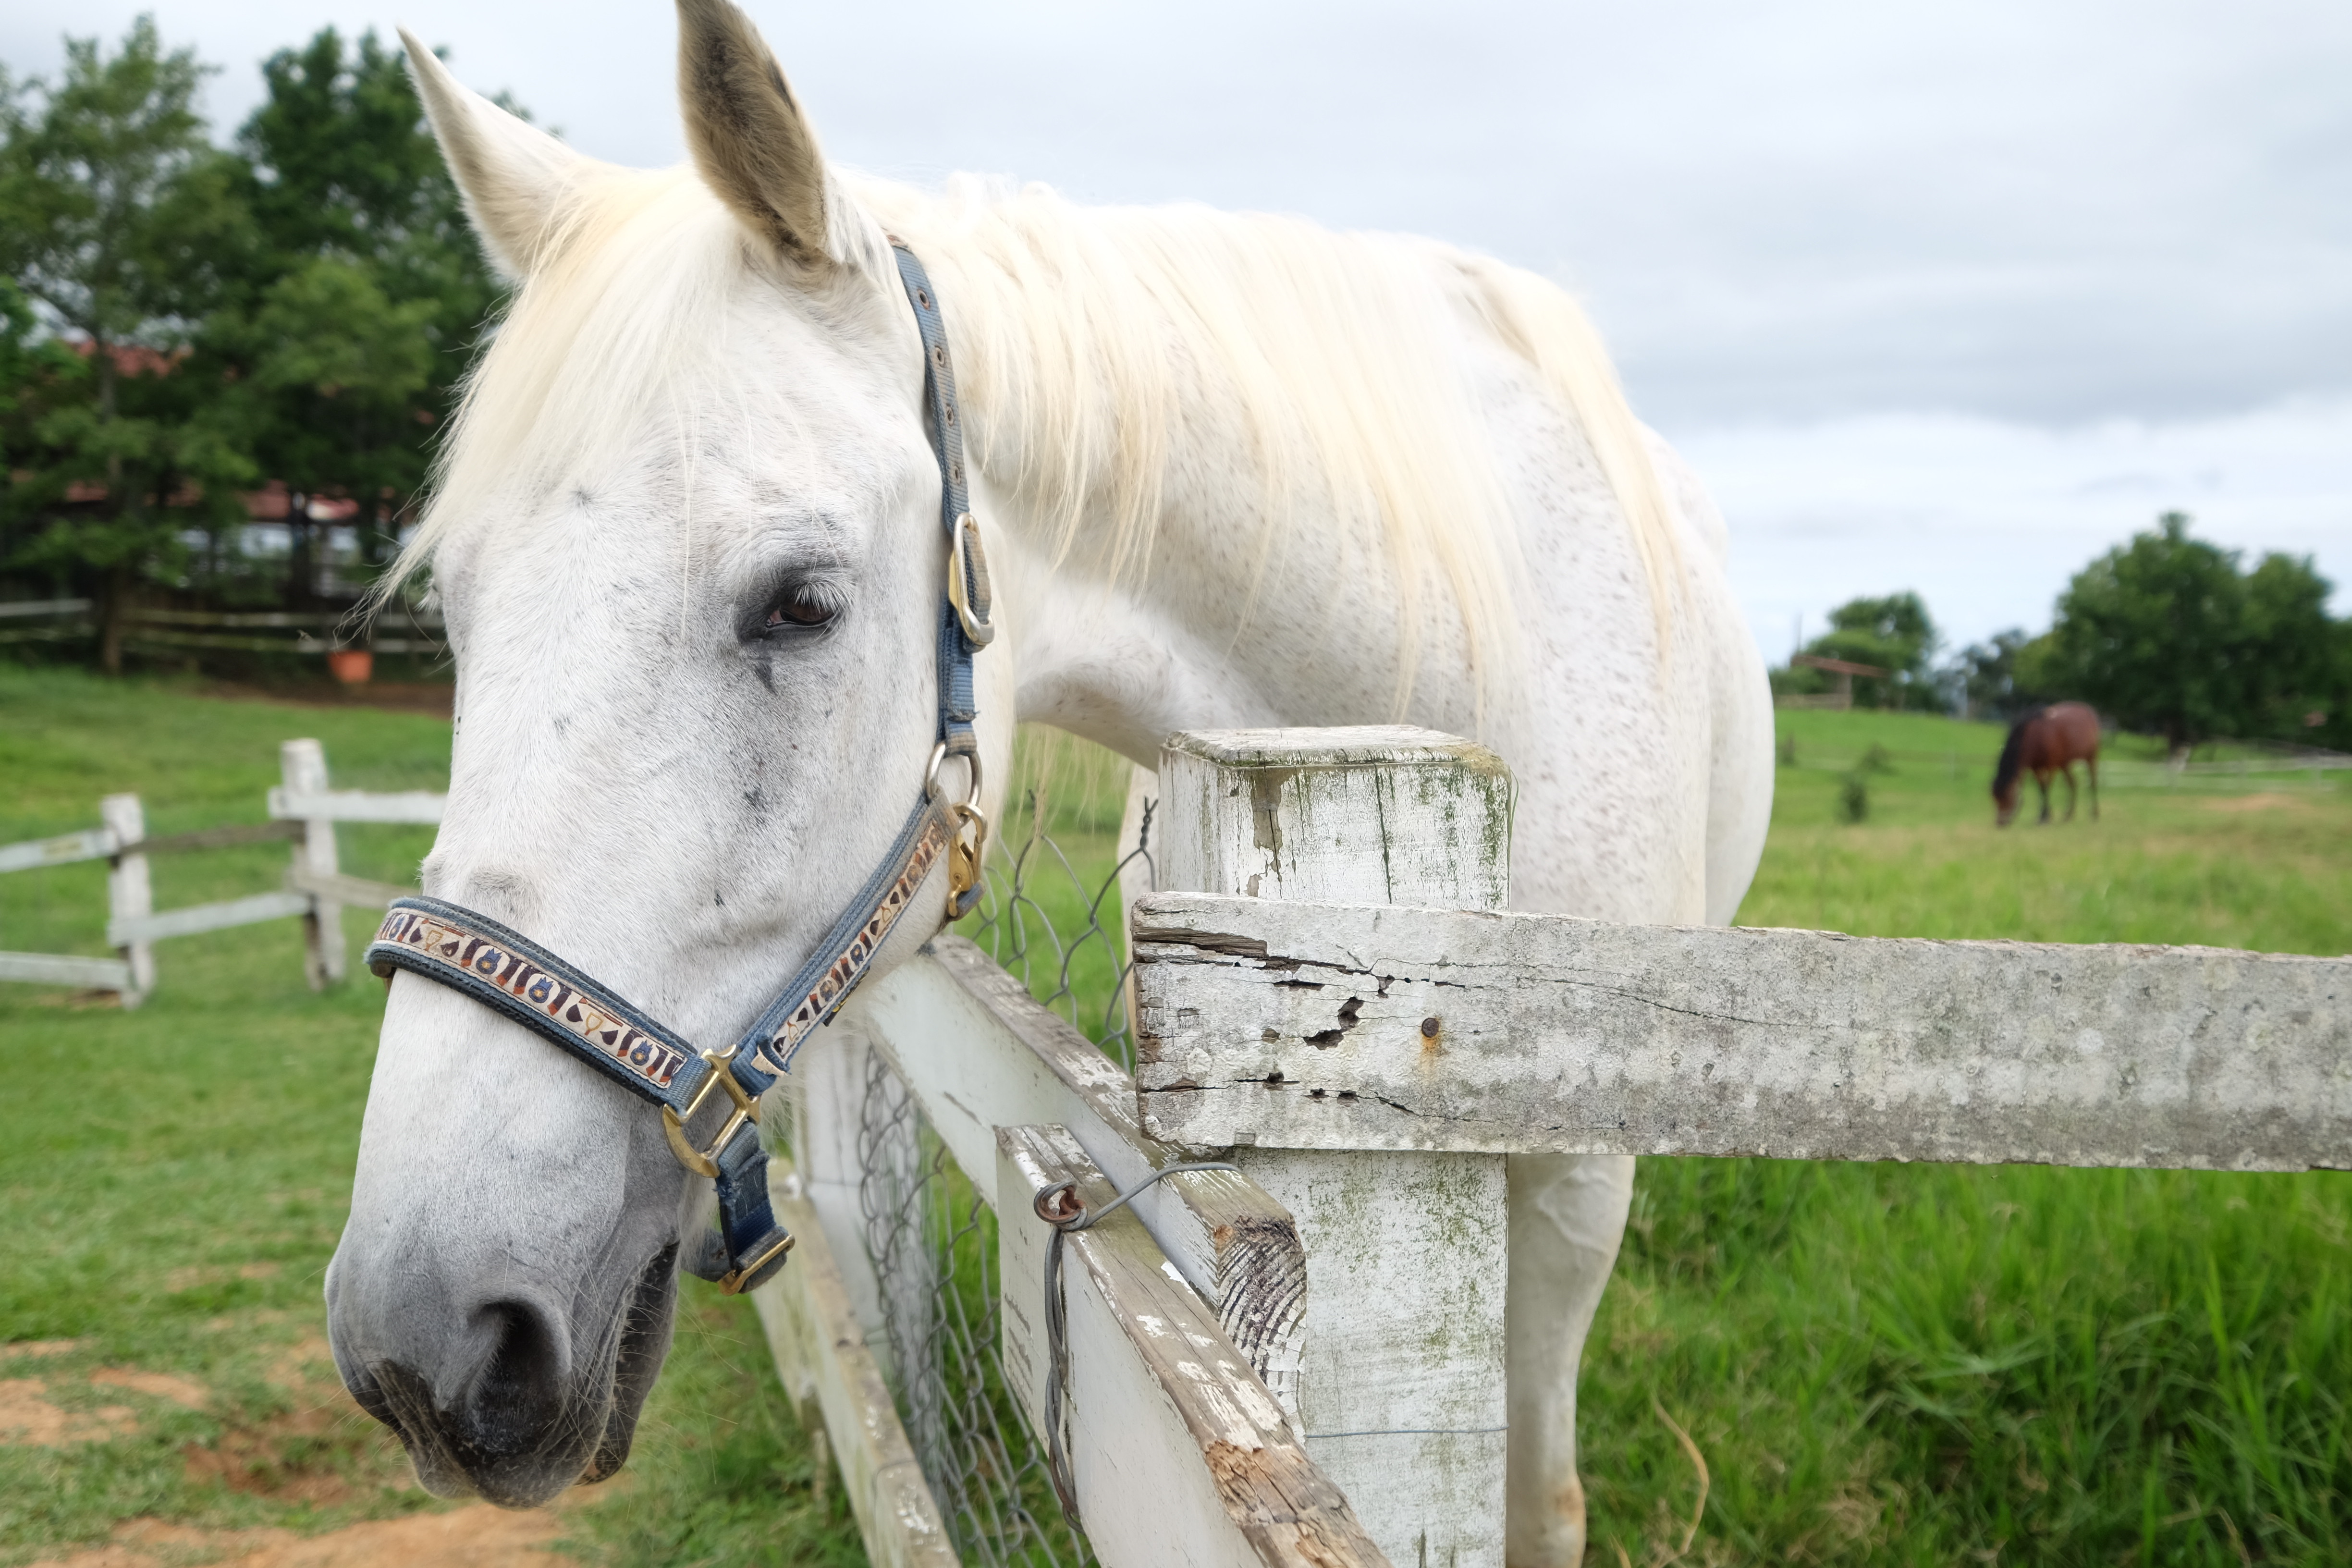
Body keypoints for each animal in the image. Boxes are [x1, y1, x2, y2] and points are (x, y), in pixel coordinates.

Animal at [1994, 705, 2107, 827]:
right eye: (1995, 798)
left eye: (2007, 797)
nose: (2000, 823)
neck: (2037, 736)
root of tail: (2088, 711)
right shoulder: (2036, 769)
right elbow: (2042, 788)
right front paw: (2043, 816)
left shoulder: (2052, 767)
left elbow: (2047, 787)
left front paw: (2045, 817)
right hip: (2065, 764)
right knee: (2073, 784)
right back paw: (2069, 814)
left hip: (2091, 758)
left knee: (2093, 783)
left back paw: (2095, 813)